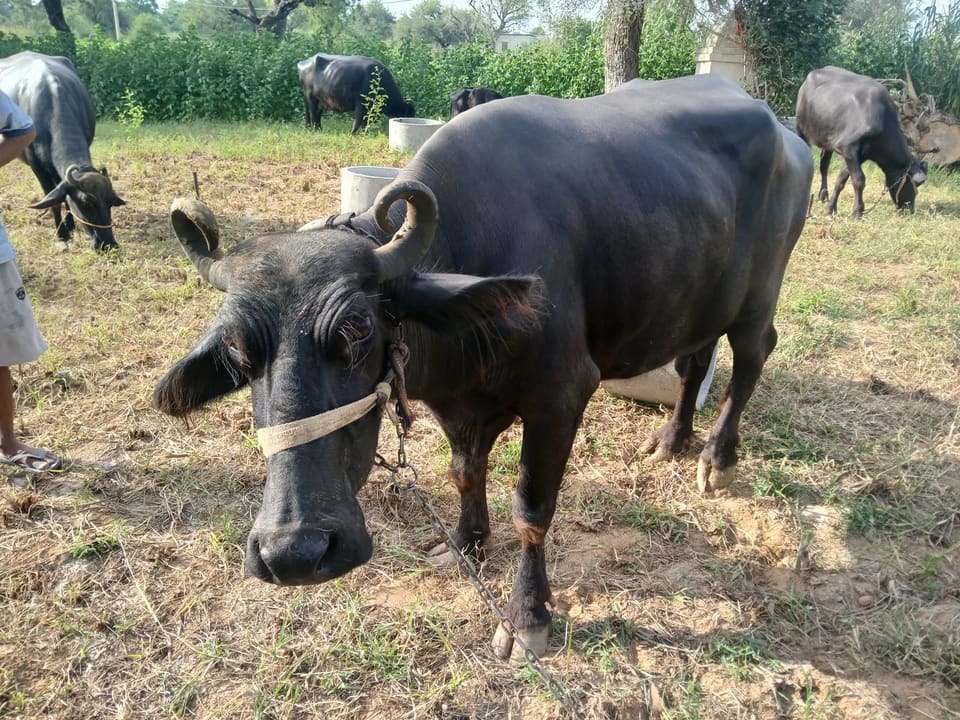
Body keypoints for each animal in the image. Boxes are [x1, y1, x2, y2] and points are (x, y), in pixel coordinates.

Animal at [0, 51, 125, 251]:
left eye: (111, 201)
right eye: (86, 202)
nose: (108, 244)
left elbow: (64, 197)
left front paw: (71, 225)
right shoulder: (38, 167)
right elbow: (54, 201)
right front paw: (62, 233)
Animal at [155, 75, 813, 660]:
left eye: (359, 328)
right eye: (237, 350)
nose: (293, 552)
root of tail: (788, 134)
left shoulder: (560, 397)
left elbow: (532, 512)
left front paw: (527, 619)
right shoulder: (460, 405)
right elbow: (464, 472)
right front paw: (465, 545)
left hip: (759, 298)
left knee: (752, 356)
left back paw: (717, 459)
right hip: (700, 299)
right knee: (696, 356)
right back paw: (671, 440)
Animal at [796, 65, 928, 217]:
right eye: (916, 182)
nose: (910, 209)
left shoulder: (856, 155)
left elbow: (841, 179)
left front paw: (831, 208)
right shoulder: (848, 148)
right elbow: (859, 180)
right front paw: (858, 211)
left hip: (827, 140)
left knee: (824, 165)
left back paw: (823, 195)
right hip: (800, 129)